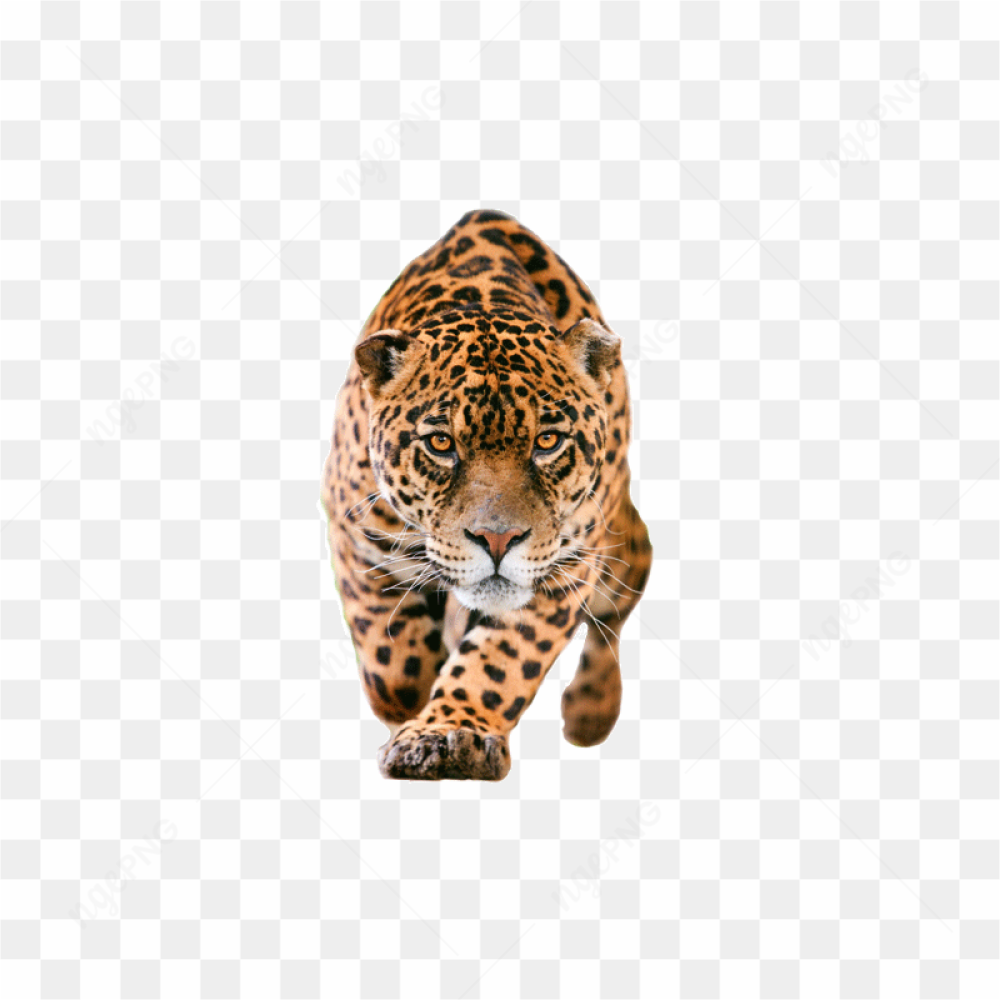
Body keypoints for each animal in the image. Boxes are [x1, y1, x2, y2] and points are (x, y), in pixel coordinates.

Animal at [320, 209, 652, 780]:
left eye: (547, 441)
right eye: (441, 444)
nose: (498, 541)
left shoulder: (566, 565)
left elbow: (501, 661)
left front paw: (451, 733)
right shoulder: (357, 535)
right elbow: (393, 661)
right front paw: (413, 712)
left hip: (622, 545)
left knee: (617, 609)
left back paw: (590, 712)